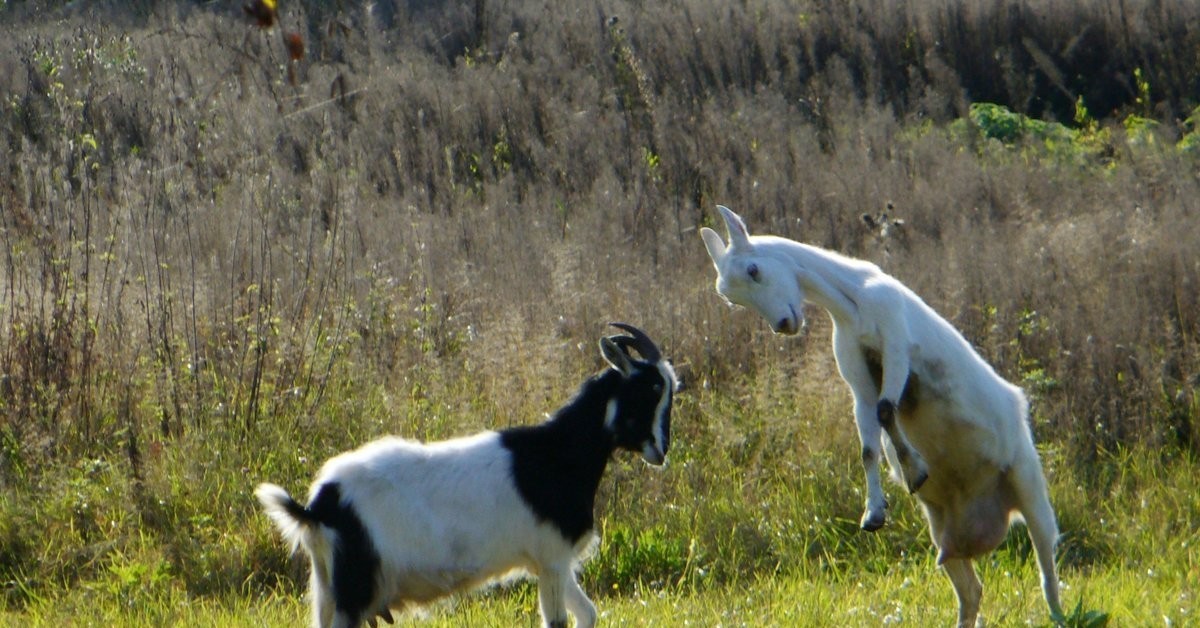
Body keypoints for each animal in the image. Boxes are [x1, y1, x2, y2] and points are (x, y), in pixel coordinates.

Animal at [256, 324, 681, 628]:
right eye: (651, 388)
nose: (661, 451)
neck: (556, 455)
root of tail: (318, 506)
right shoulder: (552, 557)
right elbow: (559, 622)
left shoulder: (547, 561)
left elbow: (588, 614)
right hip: (354, 586)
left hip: (328, 586)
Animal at [700, 205, 1060, 624]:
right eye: (731, 298)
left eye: (755, 270)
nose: (785, 325)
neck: (855, 300)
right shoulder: (857, 377)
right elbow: (868, 445)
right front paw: (874, 513)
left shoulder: (897, 346)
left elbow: (888, 410)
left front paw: (915, 470)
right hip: (943, 533)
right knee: (972, 591)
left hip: (1029, 484)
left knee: (1048, 572)